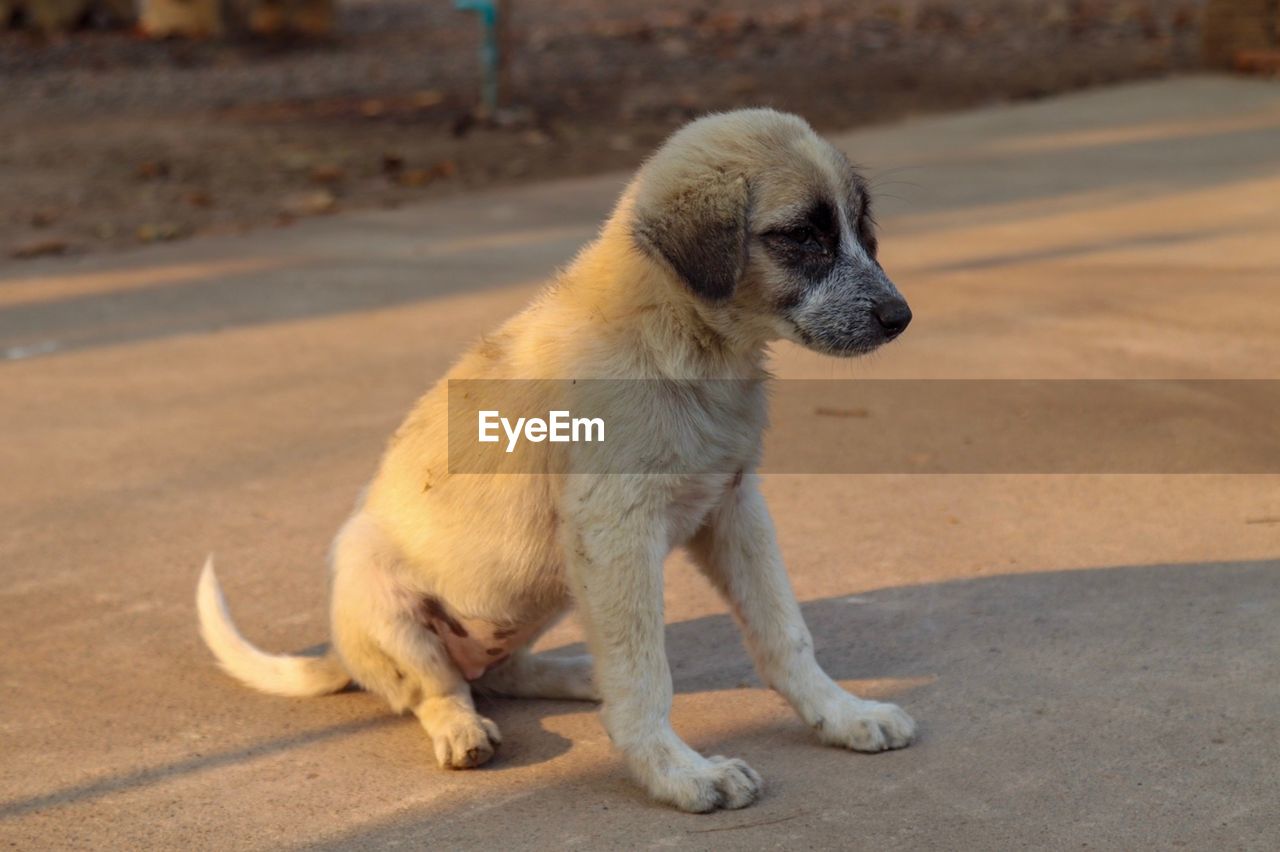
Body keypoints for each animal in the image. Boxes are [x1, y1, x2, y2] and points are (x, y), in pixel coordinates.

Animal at [199, 109, 916, 813]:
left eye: (859, 229)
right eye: (801, 236)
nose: (900, 316)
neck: (681, 348)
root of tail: (338, 653)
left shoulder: (733, 506)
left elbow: (784, 633)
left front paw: (843, 715)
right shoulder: (617, 529)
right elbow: (643, 675)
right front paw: (678, 773)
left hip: (547, 593)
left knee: (503, 671)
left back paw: (577, 675)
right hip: (379, 591)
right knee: (441, 688)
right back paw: (463, 729)